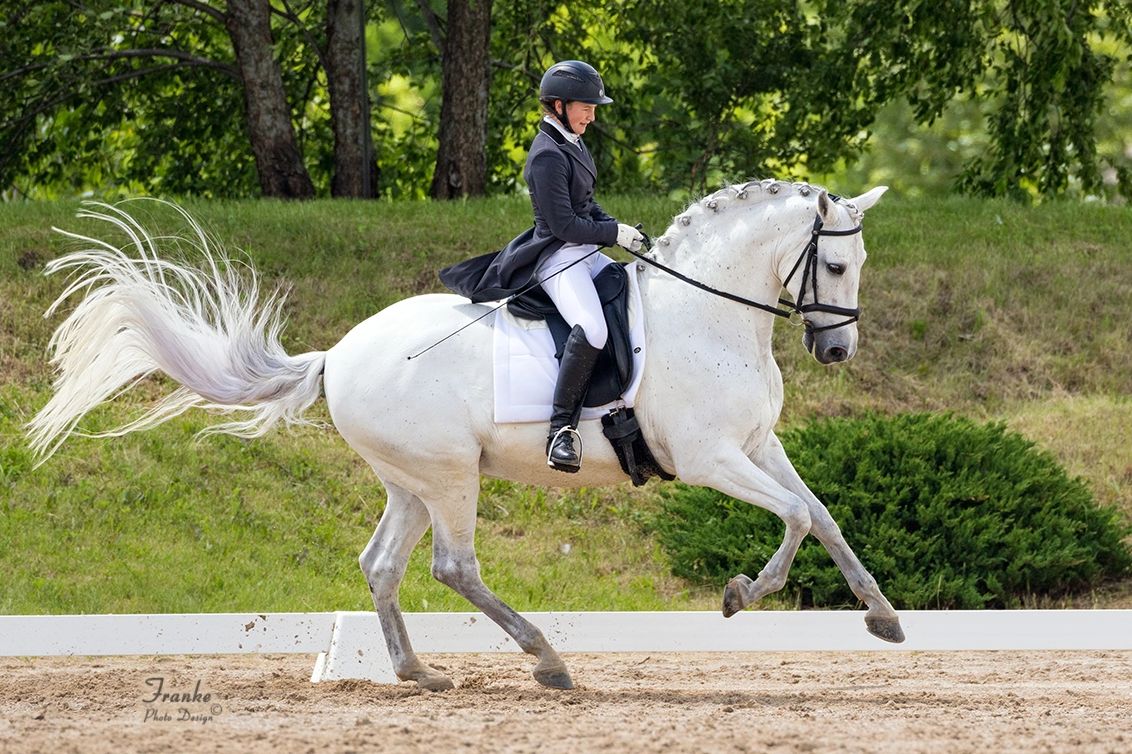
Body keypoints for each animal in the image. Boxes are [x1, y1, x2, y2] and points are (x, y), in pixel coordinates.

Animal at [30, 181, 905, 688]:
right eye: (834, 267)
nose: (837, 352)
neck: (709, 314)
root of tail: (339, 354)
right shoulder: (711, 458)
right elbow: (794, 518)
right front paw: (739, 595)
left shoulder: (758, 447)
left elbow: (822, 515)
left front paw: (883, 617)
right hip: (452, 476)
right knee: (453, 566)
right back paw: (546, 660)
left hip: (411, 481)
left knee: (380, 565)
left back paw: (419, 673)